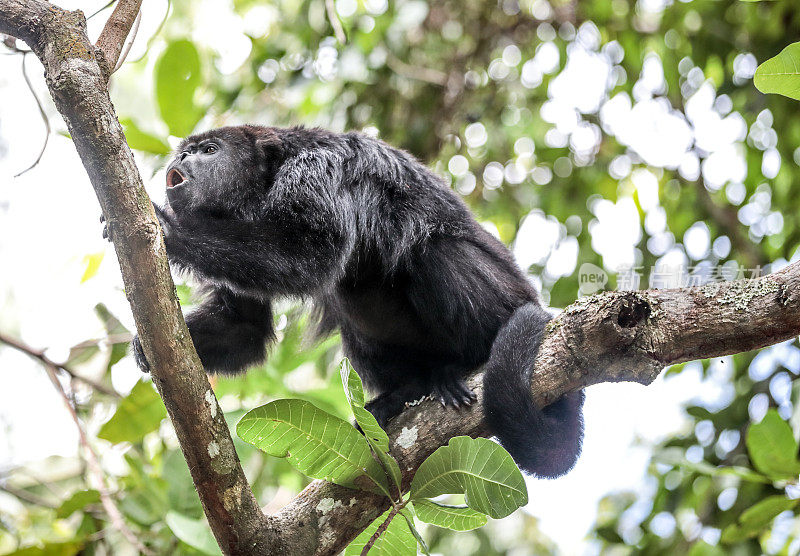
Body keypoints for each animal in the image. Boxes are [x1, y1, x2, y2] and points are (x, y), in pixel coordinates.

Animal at [112, 126, 584, 478]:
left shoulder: (317, 169)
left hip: (508, 300)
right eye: (186, 151)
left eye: (209, 151)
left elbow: (304, 254)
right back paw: (405, 392)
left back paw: (462, 365)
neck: (263, 182)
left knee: (435, 250)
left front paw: (170, 229)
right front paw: (145, 348)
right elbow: (243, 326)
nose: (182, 160)